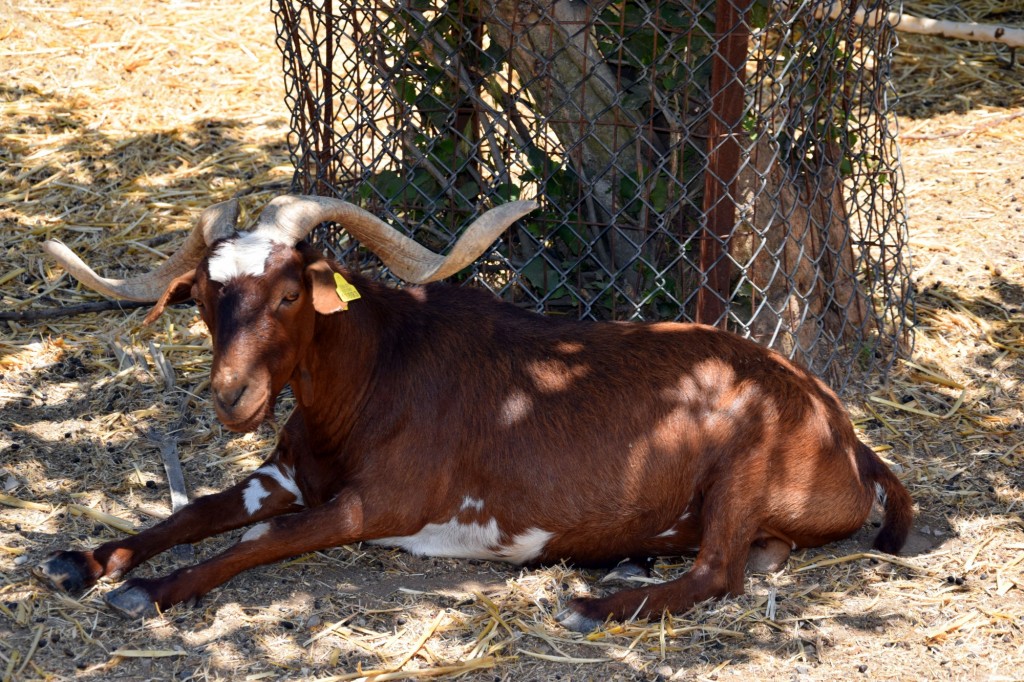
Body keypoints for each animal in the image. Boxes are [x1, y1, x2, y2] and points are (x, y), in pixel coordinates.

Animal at [36, 193, 913, 630]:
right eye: (205, 300)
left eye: (289, 295)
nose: (233, 397)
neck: (372, 378)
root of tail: (849, 440)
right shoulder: (284, 474)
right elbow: (196, 512)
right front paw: (83, 560)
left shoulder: (373, 505)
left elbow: (258, 541)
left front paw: (145, 591)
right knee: (747, 560)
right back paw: (627, 566)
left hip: (743, 459)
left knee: (719, 571)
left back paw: (595, 605)